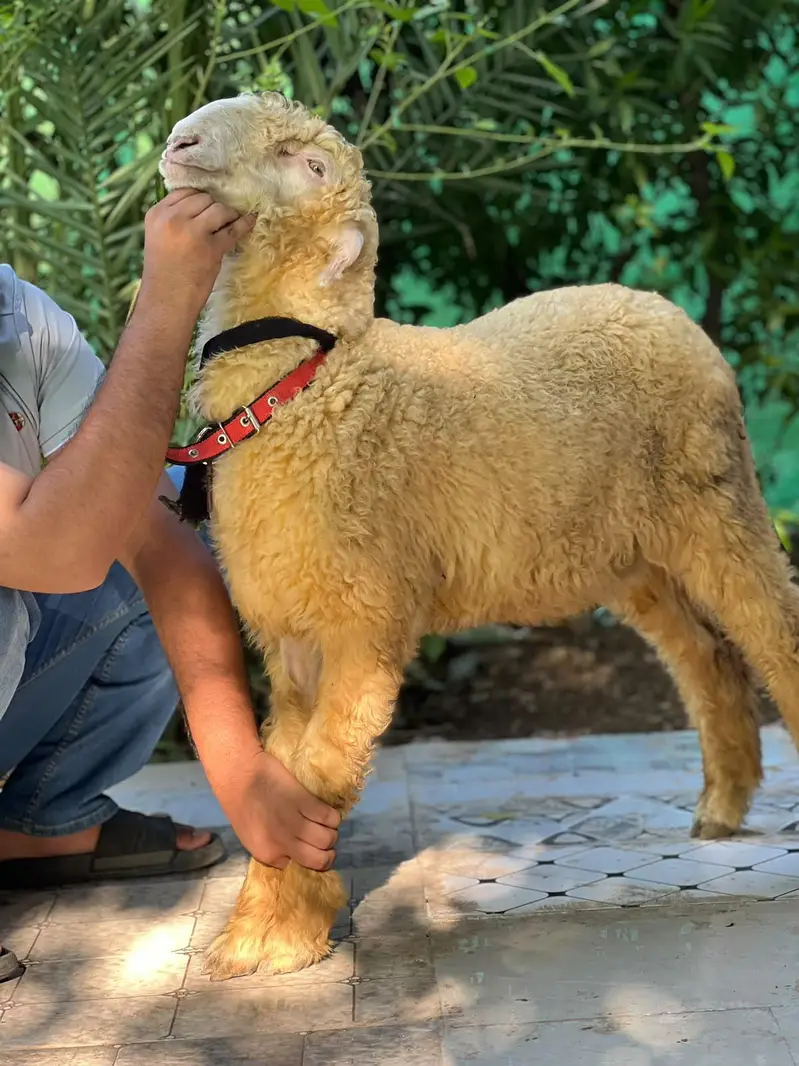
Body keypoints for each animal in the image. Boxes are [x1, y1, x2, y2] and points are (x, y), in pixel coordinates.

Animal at [160, 91, 799, 980]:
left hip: (718, 503)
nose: (180, 139)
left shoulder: (365, 622)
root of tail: (656, 303)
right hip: (629, 555)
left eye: (308, 162)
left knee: (774, 630)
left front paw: (281, 939)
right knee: (705, 658)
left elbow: (322, 769)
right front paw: (261, 930)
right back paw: (720, 806)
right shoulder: (292, 641)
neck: (313, 389)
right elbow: (281, 776)